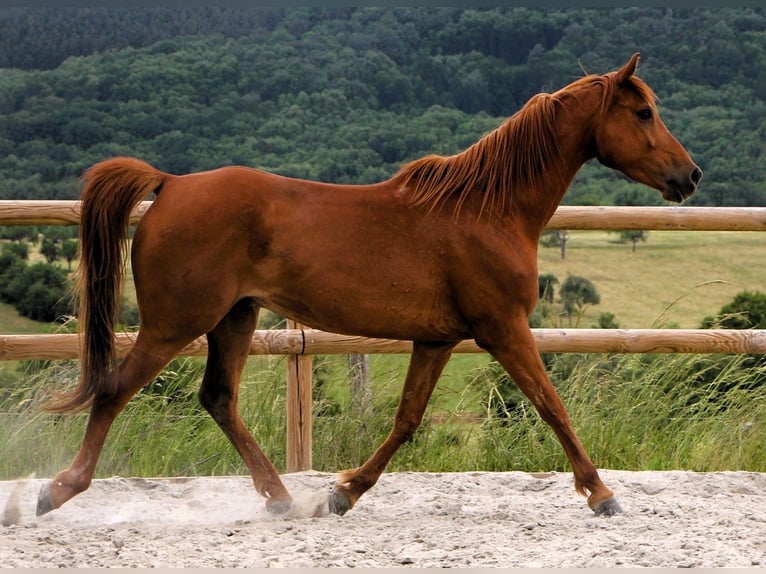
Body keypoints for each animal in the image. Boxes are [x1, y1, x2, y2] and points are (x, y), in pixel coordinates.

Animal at [36, 53, 701, 518]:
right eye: (644, 112)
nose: (690, 175)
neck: (488, 210)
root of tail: (170, 183)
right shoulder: (503, 330)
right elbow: (551, 404)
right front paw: (602, 493)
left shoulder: (437, 340)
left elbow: (407, 420)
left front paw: (343, 493)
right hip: (178, 322)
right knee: (114, 389)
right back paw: (56, 491)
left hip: (235, 318)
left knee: (218, 399)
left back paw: (283, 499)